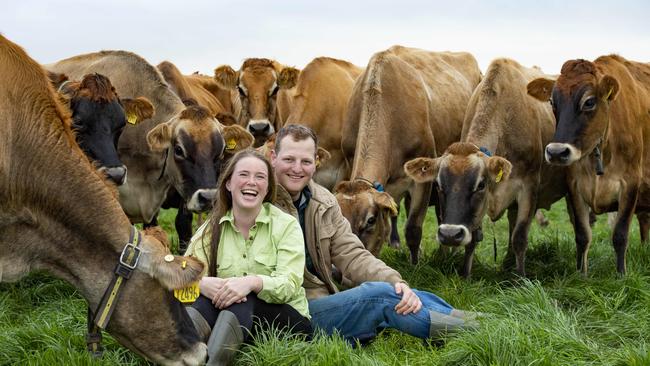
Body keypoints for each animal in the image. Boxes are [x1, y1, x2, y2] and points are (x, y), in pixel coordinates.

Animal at [402, 58, 564, 278]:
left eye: (480, 185)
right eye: (439, 185)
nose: (450, 234)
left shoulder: (529, 187)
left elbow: (520, 236)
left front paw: (521, 278)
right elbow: (473, 237)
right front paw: (465, 274)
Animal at [528, 55, 648, 274]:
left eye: (589, 102)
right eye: (552, 101)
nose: (556, 152)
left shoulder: (631, 183)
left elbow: (620, 235)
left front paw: (621, 275)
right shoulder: (574, 186)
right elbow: (582, 235)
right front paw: (581, 274)